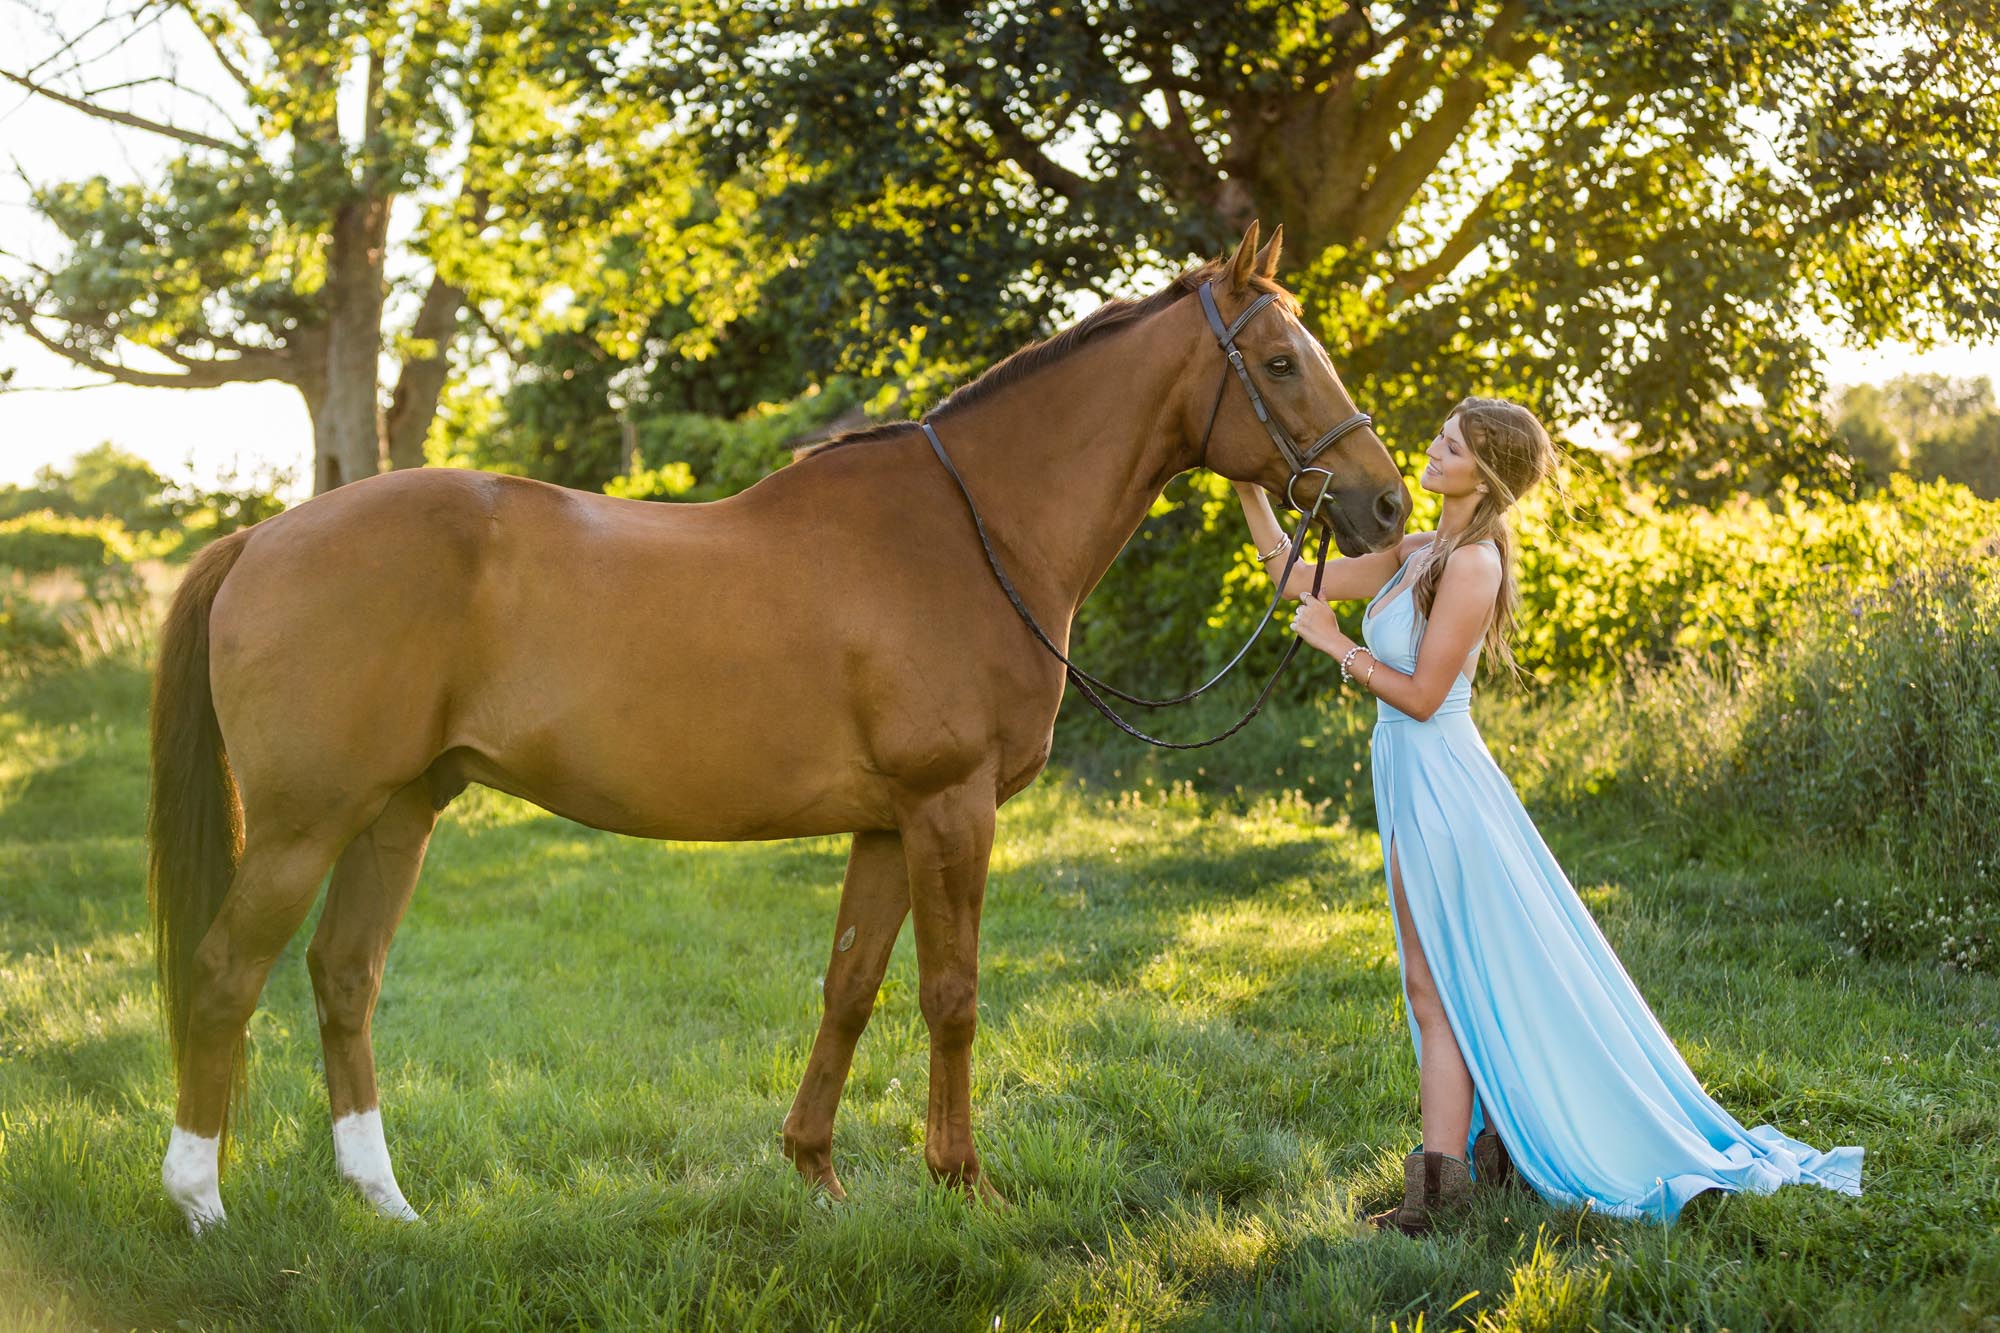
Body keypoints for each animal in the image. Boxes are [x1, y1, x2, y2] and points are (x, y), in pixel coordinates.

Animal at [148, 218, 1408, 1224]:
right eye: (1281, 361)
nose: (1385, 501)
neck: (972, 534)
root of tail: (260, 536)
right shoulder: (950, 809)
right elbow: (950, 995)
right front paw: (964, 1182)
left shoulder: (889, 824)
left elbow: (849, 986)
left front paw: (814, 1169)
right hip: (307, 823)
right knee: (224, 974)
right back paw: (201, 1202)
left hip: (397, 811)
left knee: (342, 977)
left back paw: (383, 1201)